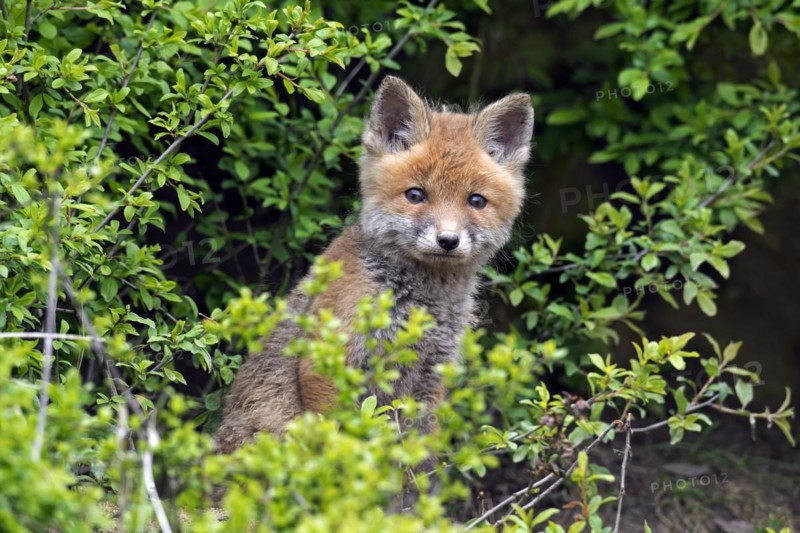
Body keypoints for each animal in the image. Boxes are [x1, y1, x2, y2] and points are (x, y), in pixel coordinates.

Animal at [215, 76, 534, 454]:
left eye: (476, 201)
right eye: (415, 195)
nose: (447, 241)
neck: (418, 304)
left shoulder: (430, 380)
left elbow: (419, 460)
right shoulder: (329, 361)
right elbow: (336, 443)